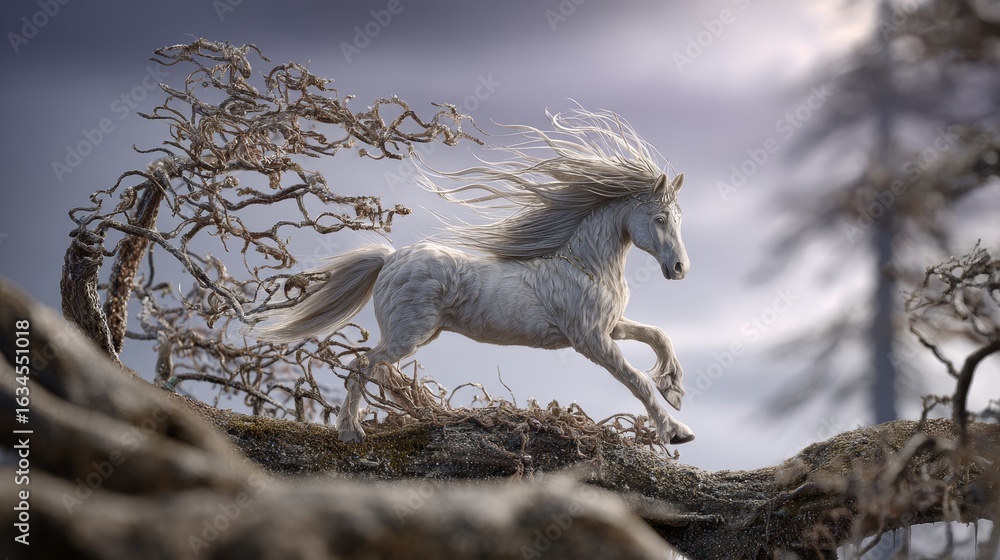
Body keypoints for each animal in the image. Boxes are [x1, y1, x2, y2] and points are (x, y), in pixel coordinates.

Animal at [255, 108, 695, 445]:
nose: (680, 269)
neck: (585, 266)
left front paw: (674, 390)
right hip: (408, 335)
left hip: (420, 335)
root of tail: (392, 258)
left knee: (379, 370)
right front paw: (677, 431)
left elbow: (658, 336)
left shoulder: (608, 326)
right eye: (660, 218)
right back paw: (352, 432)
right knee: (364, 364)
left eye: (678, 218)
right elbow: (637, 380)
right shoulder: (590, 339)